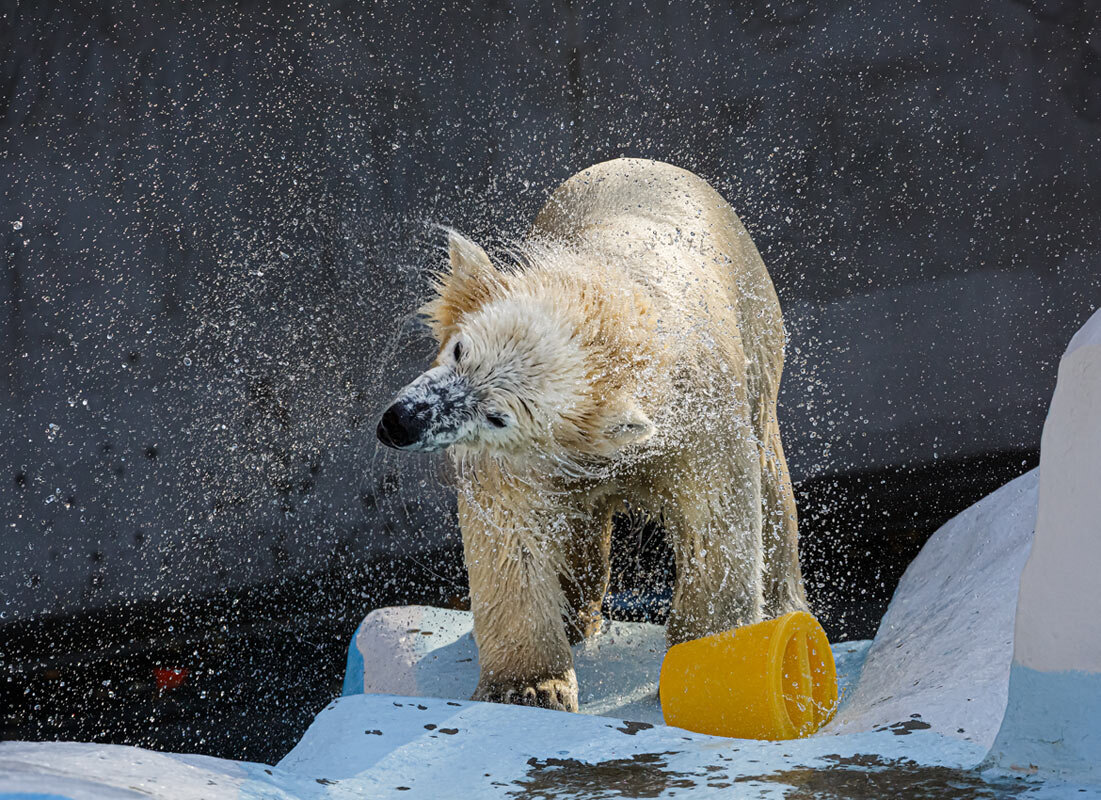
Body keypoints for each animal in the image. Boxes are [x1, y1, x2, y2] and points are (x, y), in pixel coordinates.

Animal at [378, 158, 810, 713]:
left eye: (499, 415)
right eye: (459, 350)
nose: (401, 421)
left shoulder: (701, 420)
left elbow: (718, 522)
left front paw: (711, 663)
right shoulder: (521, 462)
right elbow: (513, 535)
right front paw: (530, 686)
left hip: (759, 333)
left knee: (772, 482)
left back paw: (784, 605)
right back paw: (574, 616)